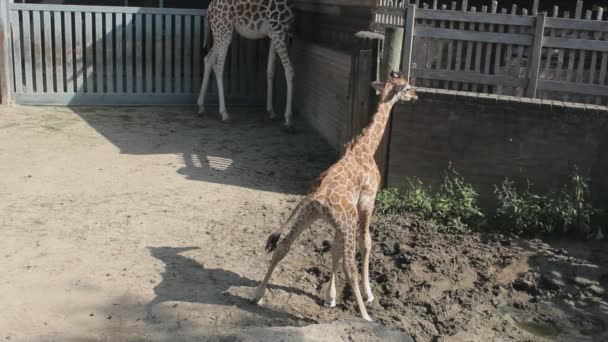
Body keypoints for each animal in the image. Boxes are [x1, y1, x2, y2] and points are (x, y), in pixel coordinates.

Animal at [198, 0, 296, 132]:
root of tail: (210, 8)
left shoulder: (273, 33)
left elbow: (270, 70)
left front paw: (271, 111)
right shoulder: (278, 30)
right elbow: (289, 71)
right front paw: (288, 120)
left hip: (222, 30)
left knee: (208, 59)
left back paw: (201, 107)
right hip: (224, 30)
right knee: (218, 65)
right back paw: (224, 114)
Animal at [251, 71, 418, 320]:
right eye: (406, 88)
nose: (416, 95)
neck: (366, 148)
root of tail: (317, 193)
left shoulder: (339, 221)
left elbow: (334, 249)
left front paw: (330, 297)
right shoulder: (367, 202)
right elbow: (366, 242)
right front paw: (368, 294)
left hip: (310, 215)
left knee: (283, 247)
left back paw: (257, 295)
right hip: (347, 220)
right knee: (350, 265)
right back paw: (366, 317)